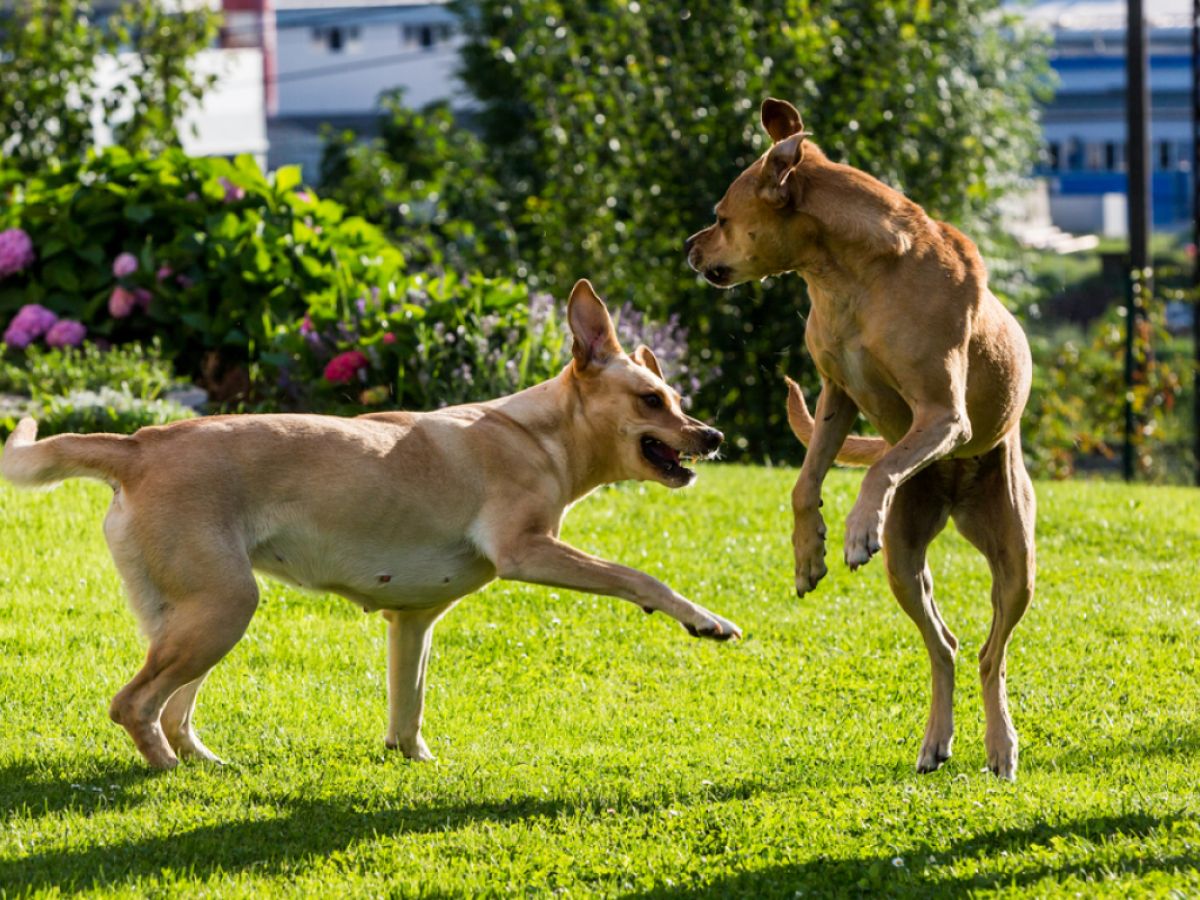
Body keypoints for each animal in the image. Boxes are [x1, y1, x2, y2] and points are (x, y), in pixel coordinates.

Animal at [0, 280, 734, 768]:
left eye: (677, 398)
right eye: (652, 400)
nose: (715, 436)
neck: (537, 433)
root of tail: (140, 442)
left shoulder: (412, 623)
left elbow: (408, 706)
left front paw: (416, 762)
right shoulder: (529, 550)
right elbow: (639, 577)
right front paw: (705, 620)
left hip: (195, 618)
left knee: (171, 707)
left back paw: (206, 764)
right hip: (222, 608)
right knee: (134, 703)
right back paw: (168, 770)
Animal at [691, 95, 1036, 777]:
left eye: (719, 217)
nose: (689, 247)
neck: (849, 274)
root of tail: (956, 494)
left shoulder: (942, 416)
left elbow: (881, 467)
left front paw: (853, 530)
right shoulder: (836, 396)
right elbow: (803, 484)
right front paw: (809, 555)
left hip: (1015, 557)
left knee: (993, 652)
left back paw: (1000, 745)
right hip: (905, 557)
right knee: (946, 644)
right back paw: (936, 741)